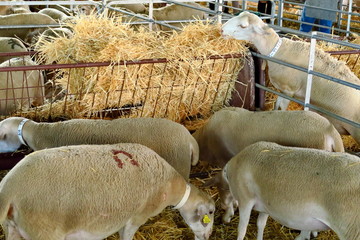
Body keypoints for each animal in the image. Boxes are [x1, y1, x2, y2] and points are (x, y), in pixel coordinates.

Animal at [0, 142, 215, 240]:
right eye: (211, 212)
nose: (207, 237)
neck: (171, 186)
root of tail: (9, 187)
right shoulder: (138, 215)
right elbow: (127, 235)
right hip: (44, 232)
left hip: (13, 228)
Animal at [221, 12, 360, 145]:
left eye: (243, 26)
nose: (221, 29)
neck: (276, 49)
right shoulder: (282, 90)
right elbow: (277, 106)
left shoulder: (289, 90)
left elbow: (282, 108)